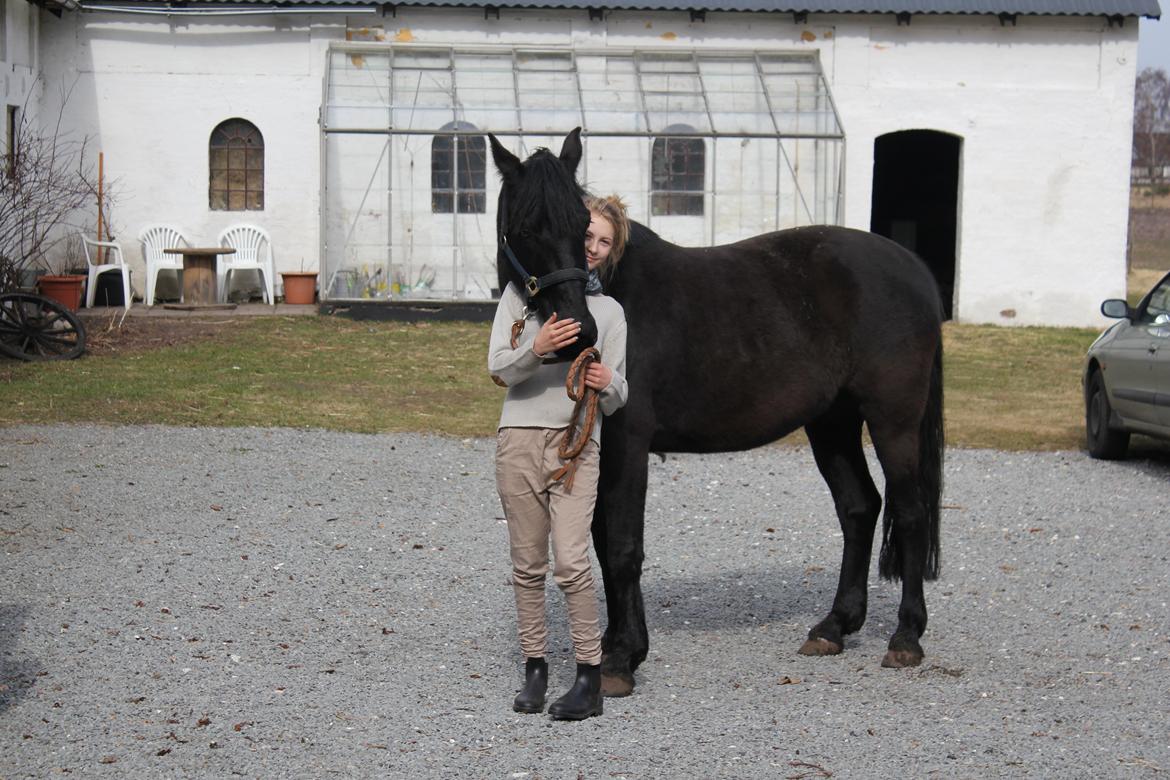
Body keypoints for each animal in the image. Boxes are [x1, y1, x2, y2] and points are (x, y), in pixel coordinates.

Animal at [489, 128, 945, 696]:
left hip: (893, 420)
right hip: (832, 423)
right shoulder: (599, 447)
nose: (580, 333)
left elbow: (623, 547)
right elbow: (600, 541)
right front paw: (621, 646)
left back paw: (906, 637)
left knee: (910, 511)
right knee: (860, 507)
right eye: (528, 227)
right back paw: (834, 627)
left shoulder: (629, 443)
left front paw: (620, 659)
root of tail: (915, 270)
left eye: (582, 226)